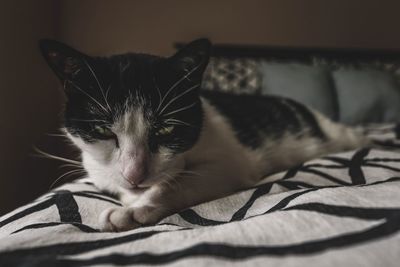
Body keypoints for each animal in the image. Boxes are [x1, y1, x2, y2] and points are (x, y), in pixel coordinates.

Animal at [39, 38, 370, 232]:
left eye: (166, 128)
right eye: (102, 130)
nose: (134, 174)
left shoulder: (229, 164)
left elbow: (177, 183)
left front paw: (135, 209)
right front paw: (130, 199)